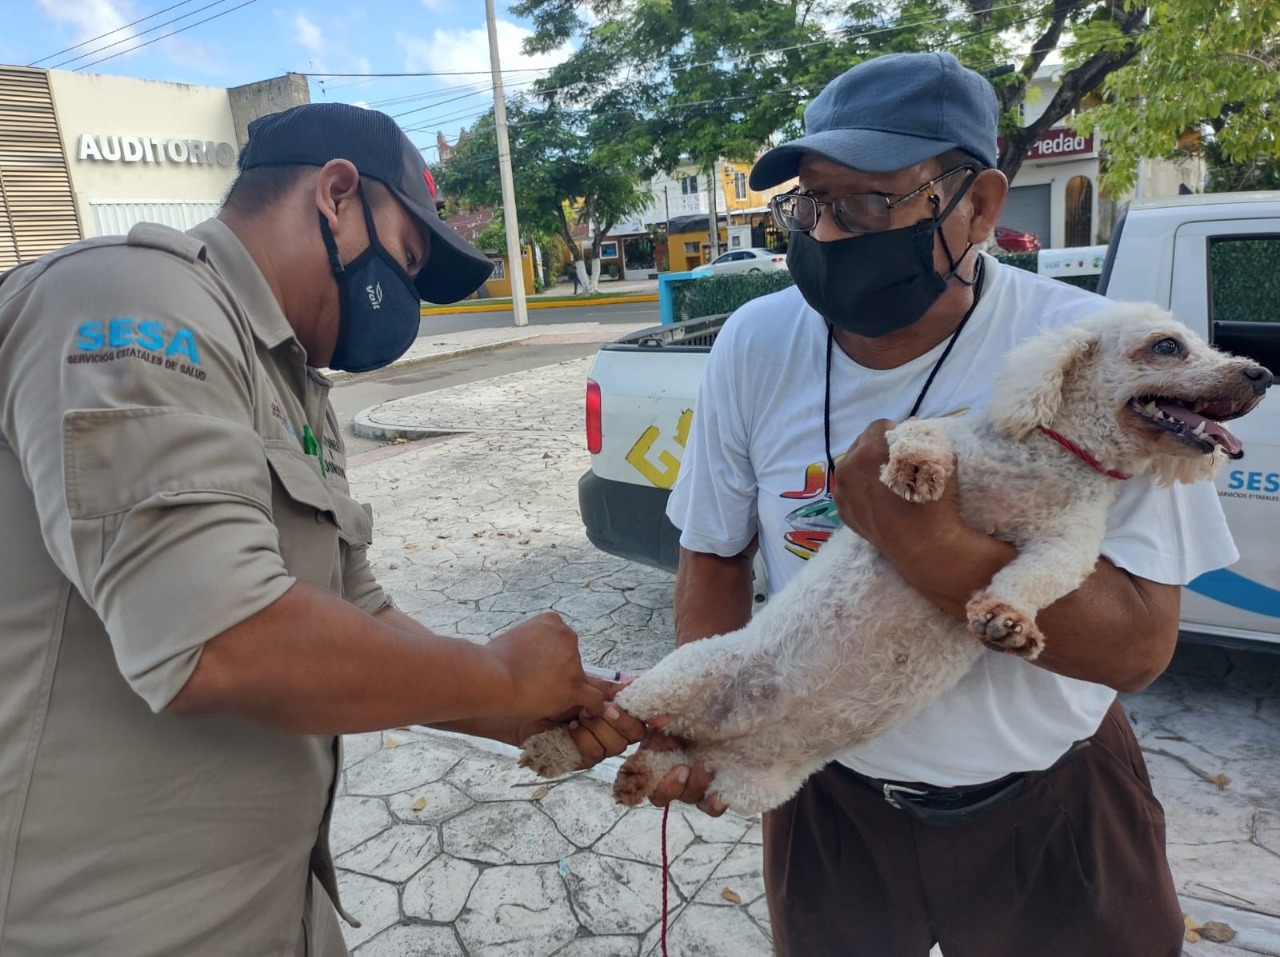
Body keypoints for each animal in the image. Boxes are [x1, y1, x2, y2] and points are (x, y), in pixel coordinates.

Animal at [517, 303, 1269, 813]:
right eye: (1167, 345)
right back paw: (559, 747)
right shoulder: (947, 433)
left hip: (748, 784)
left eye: (1204, 342)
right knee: (616, 719)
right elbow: (920, 435)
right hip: (682, 677)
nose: (1259, 372)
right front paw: (916, 471)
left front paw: (1008, 618)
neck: (1052, 461)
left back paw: (643, 774)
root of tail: (714, 734)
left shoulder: (1067, 544)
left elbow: (1036, 577)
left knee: (661, 752)